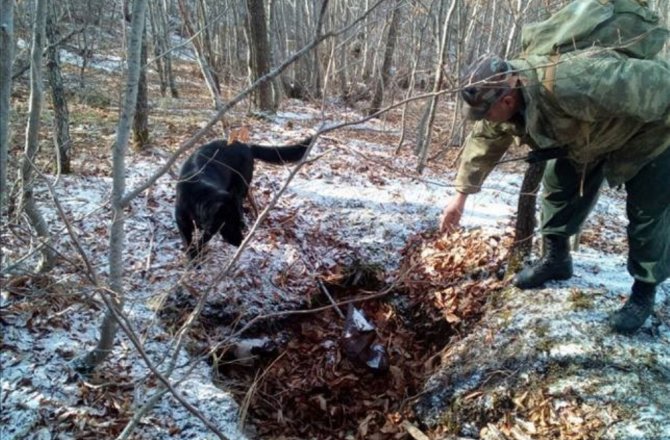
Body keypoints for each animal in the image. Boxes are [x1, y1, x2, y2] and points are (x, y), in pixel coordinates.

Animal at [173, 138, 310, 260]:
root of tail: (245, 145)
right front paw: (193, 258)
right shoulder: (182, 222)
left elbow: (203, 239)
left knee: (240, 203)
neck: (198, 193)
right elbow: (188, 241)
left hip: (242, 186)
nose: (240, 242)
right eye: (229, 225)